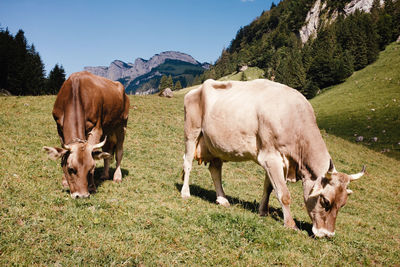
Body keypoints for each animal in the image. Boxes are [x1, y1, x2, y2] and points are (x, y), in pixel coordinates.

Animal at [43, 71, 130, 199]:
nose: (82, 195)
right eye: (71, 169)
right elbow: (63, 154)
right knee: (107, 151)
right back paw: (104, 175)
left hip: (121, 125)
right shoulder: (59, 126)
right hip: (108, 128)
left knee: (119, 151)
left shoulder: (97, 128)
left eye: (91, 168)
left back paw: (117, 177)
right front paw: (64, 181)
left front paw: (92, 186)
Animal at [181, 79, 366, 239]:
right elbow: (284, 194)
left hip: (216, 145)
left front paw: (263, 211)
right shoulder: (270, 157)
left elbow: (269, 187)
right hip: (192, 132)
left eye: (343, 204)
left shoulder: (277, 161)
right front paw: (291, 225)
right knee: (188, 163)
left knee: (215, 170)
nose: (327, 234)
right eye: (325, 201)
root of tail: (197, 88)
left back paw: (222, 199)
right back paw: (185, 193)